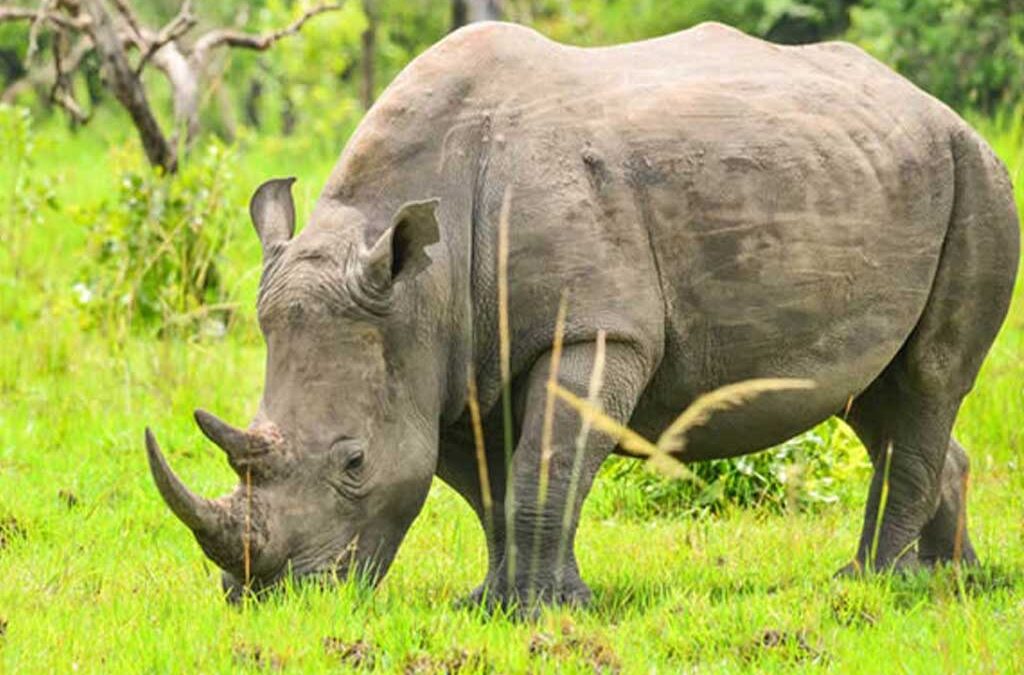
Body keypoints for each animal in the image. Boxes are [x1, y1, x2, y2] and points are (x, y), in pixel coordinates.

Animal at [145, 21, 1019, 607]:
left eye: (354, 460)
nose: (266, 597)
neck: (419, 280)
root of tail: (938, 107)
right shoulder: (445, 361)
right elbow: (491, 486)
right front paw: (497, 603)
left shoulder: (596, 327)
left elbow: (546, 464)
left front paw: (543, 609)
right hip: (882, 168)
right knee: (874, 395)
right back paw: (950, 578)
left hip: (979, 173)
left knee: (928, 379)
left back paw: (871, 582)